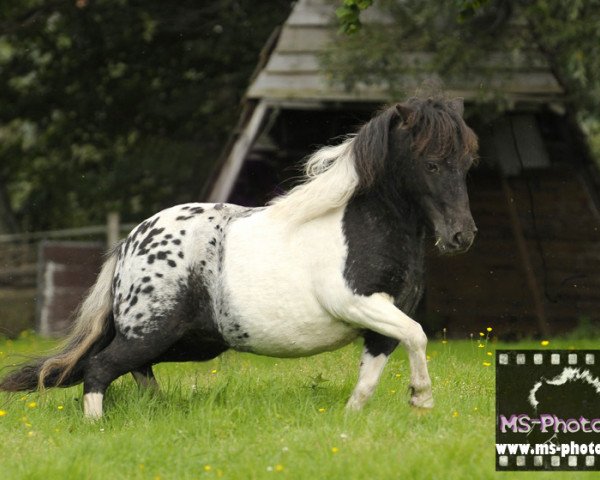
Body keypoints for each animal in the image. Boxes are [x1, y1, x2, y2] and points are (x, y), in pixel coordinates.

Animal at [0, 96, 478, 416]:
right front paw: (422, 398)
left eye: (467, 163)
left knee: (133, 370)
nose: (461, 236)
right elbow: (417, 335)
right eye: (431, 163)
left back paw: (157, 411)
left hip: (189, 341)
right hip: (154, 332)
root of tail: (130, 242)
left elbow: (373, 373)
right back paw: (100, 425)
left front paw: (365, 416)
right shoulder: (357, 302)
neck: (367, 229)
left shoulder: (381, 324)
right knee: (99, 368)